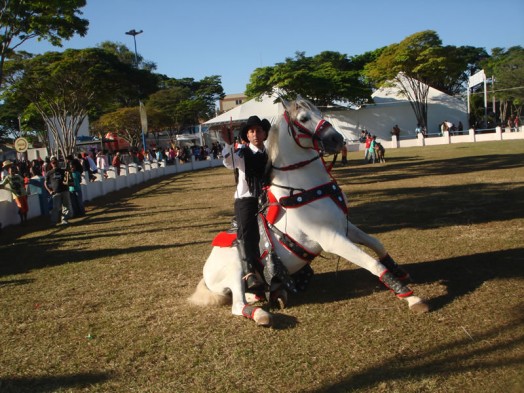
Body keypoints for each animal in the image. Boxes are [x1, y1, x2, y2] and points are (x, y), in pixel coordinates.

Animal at [190, 97, 428, 324]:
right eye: (304, 118)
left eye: (320, 112)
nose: (337, 139)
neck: (304, 188)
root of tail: (206, 271)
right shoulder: (331, 238)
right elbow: (373, 263)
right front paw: (410, 297)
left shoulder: (344, 227)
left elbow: (376, 244)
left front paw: (400, 272)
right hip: (235, 271)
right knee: (237, 304)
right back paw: (261, 314)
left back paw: (275, 293)